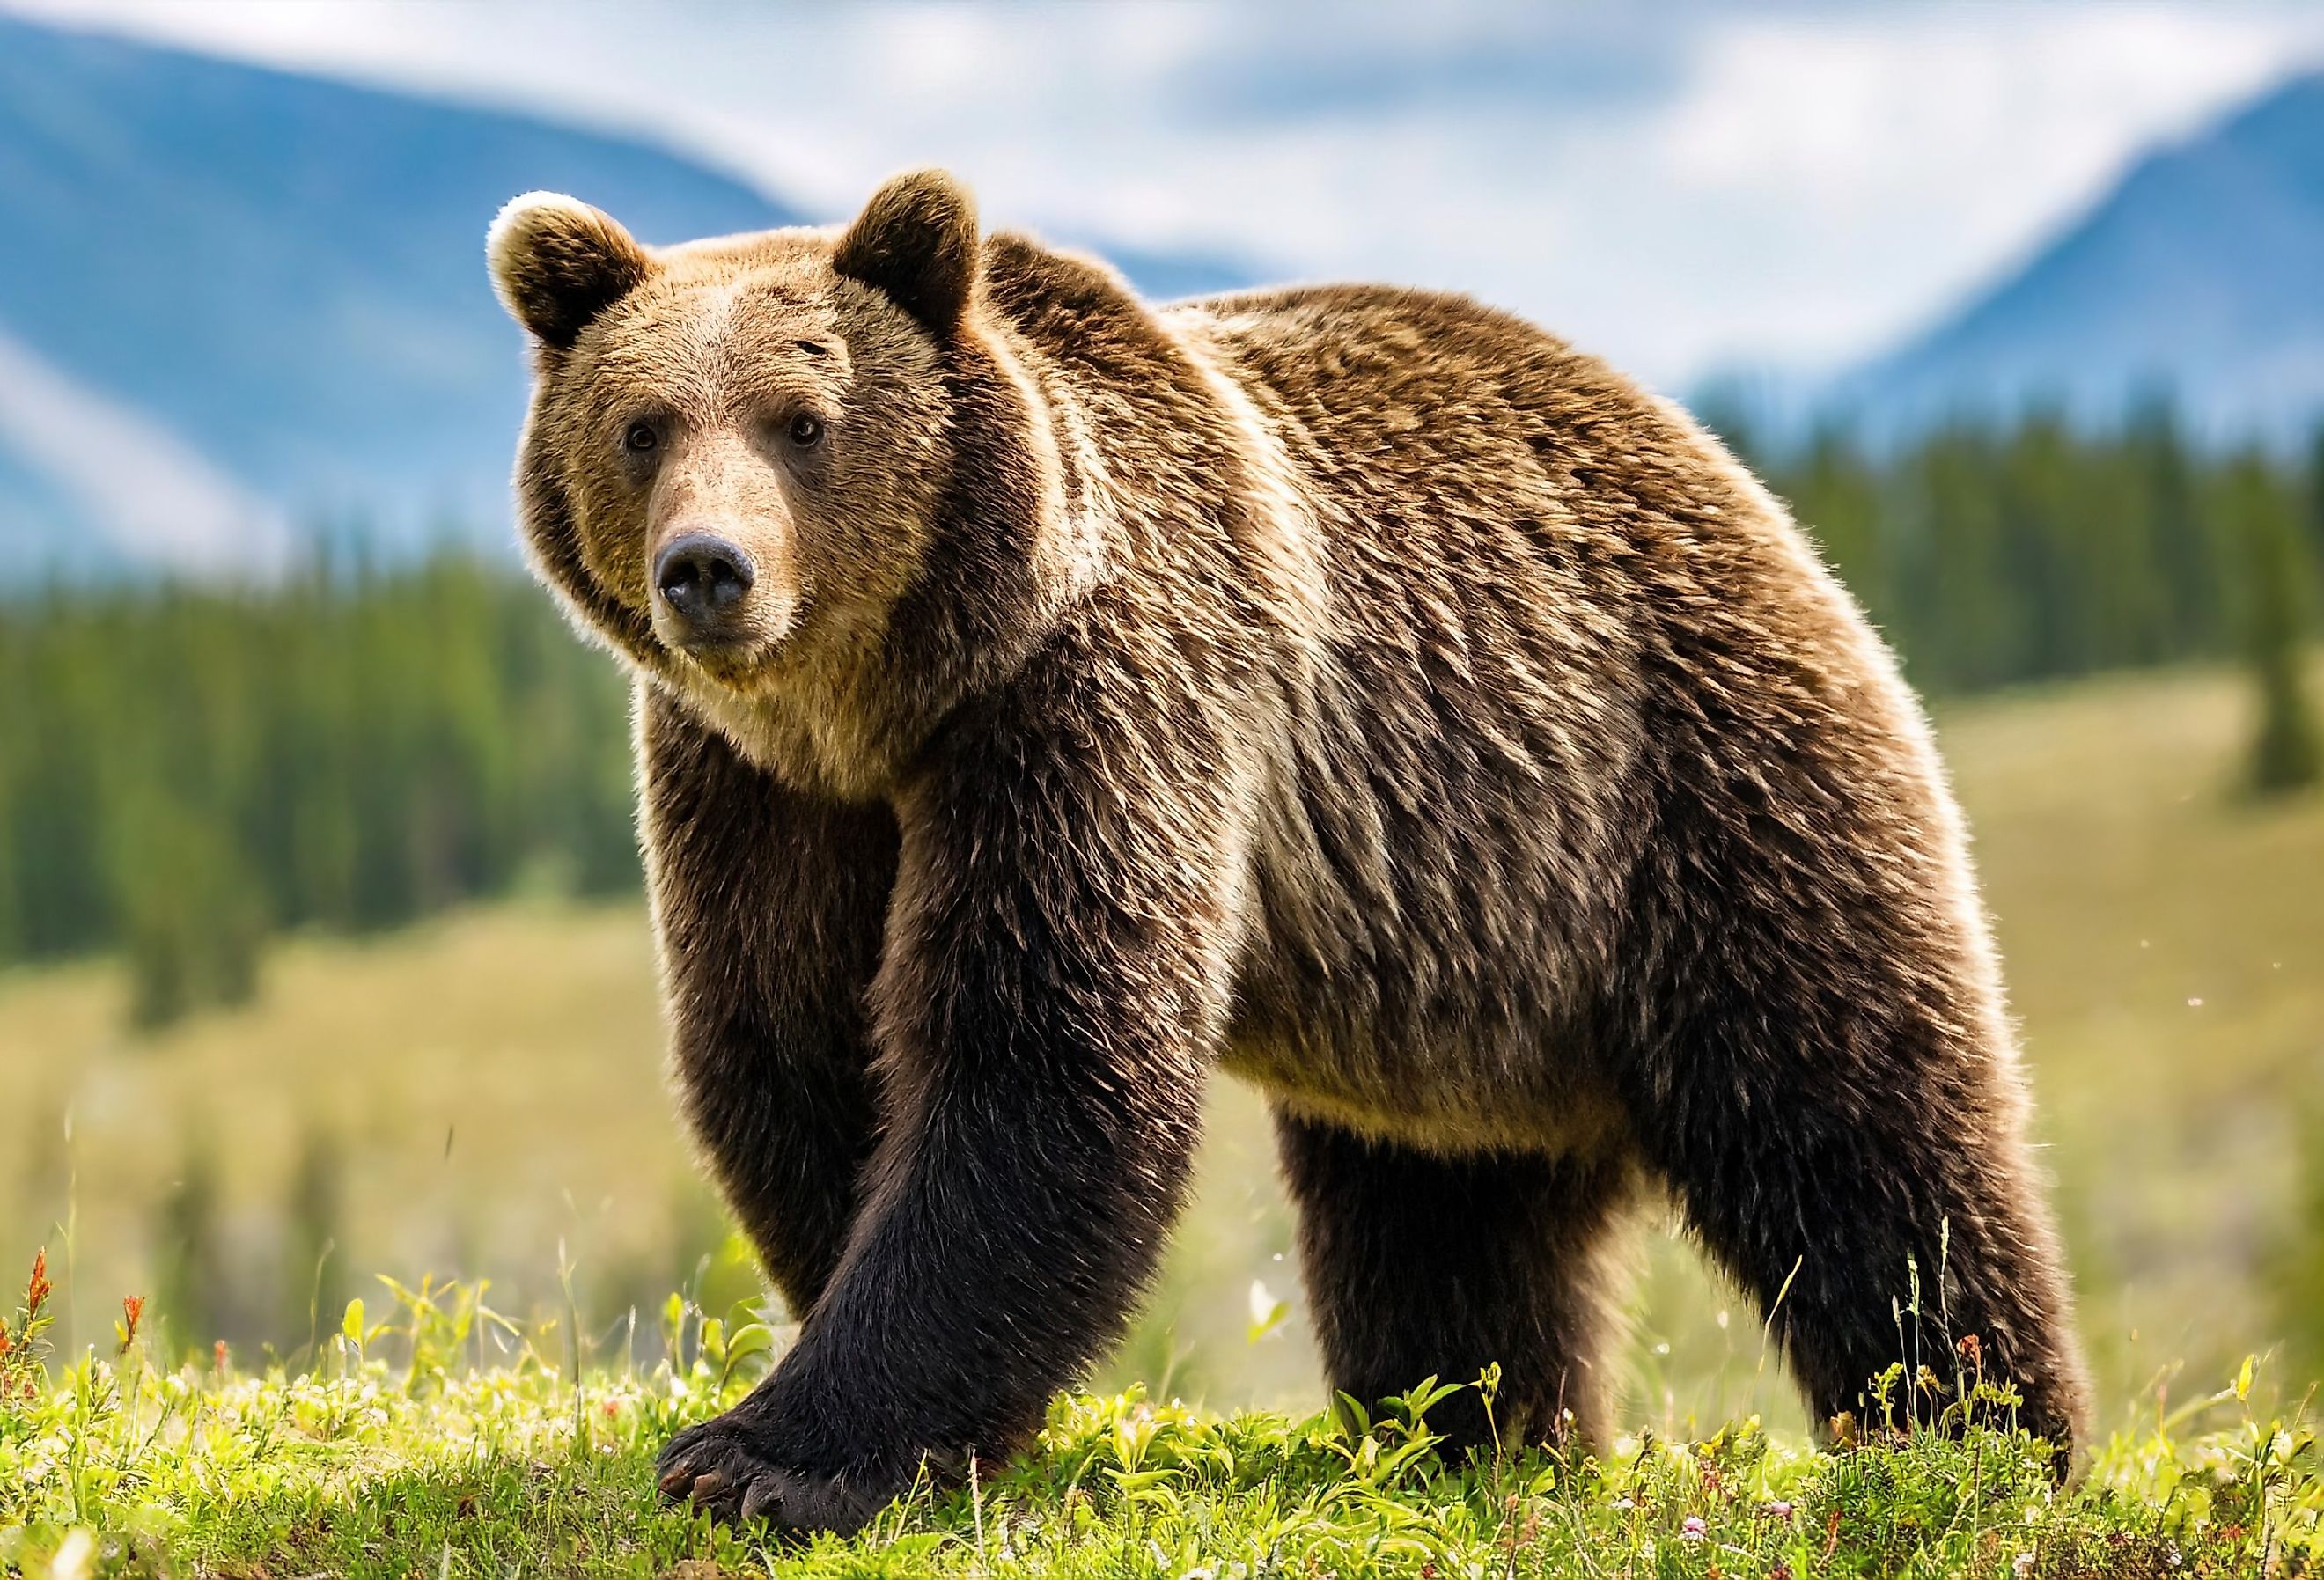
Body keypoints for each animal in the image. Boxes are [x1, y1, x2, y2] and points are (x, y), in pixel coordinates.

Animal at [485, 169, 2092, 1533]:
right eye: (643, 424)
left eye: (803, 417)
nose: (709, 570)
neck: (889, 701)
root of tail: (1743, 486)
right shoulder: (754, 785)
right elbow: (789, 1041)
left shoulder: (1104, 688)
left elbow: (1042, 1052)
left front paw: (763, 1457)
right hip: (1465, 968)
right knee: (1446, 1229)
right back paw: (1480, 1440)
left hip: (1697, 795)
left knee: (1867, 1144)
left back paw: (1984, 1447)